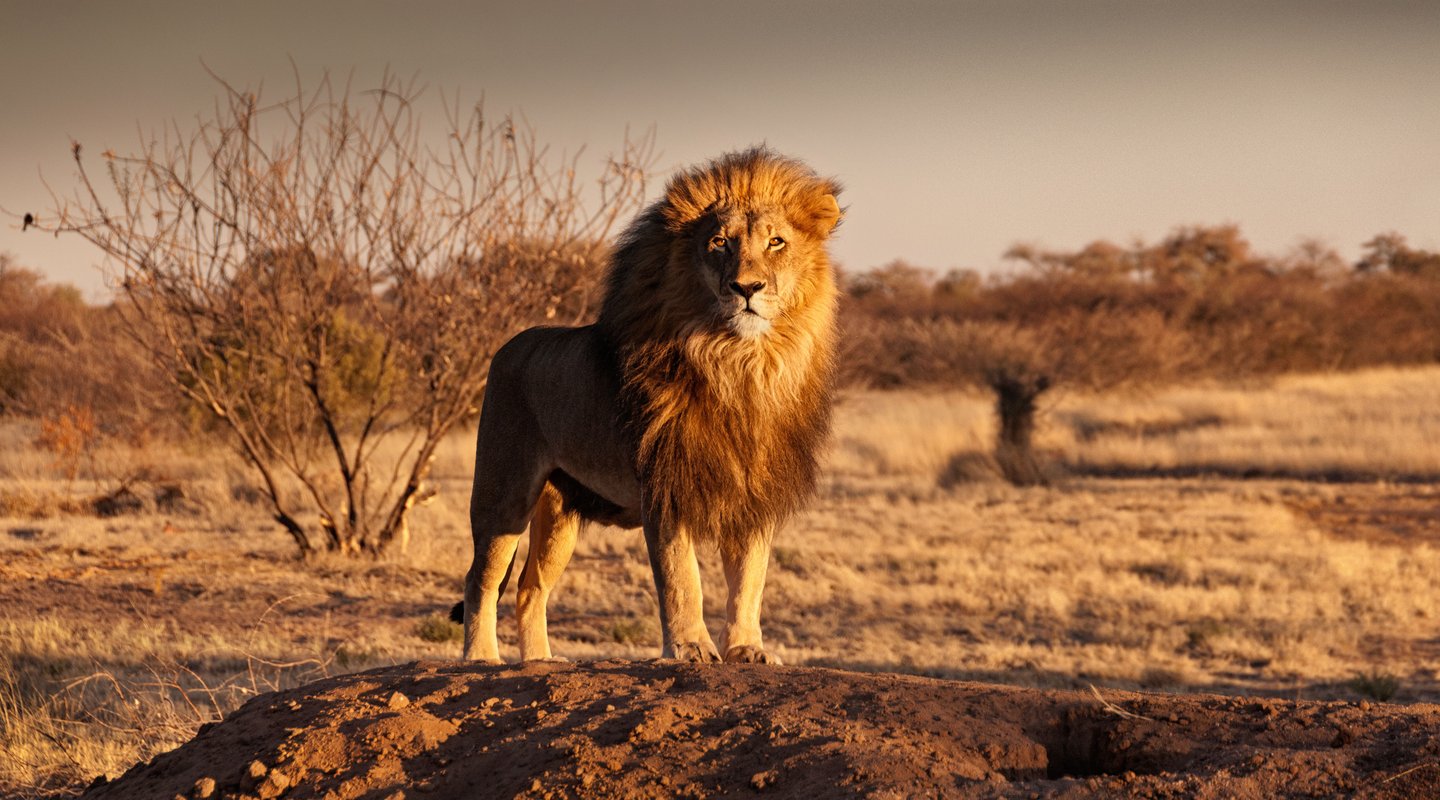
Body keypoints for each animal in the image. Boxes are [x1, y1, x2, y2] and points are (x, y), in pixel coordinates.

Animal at [455, 145, 840, 661]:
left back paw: (539, 662)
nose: (747, 288)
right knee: (482, 578)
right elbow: (682, 578)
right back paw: (482, 658)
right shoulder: (665, 486)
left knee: (529, 587)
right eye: (720, 243)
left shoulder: (754, 494)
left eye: (776, 242)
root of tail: (508, 346)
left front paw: (746, 649)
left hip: (559, 513)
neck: (741, 365)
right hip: (504, 491)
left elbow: (749, 582)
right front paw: (691, 648)